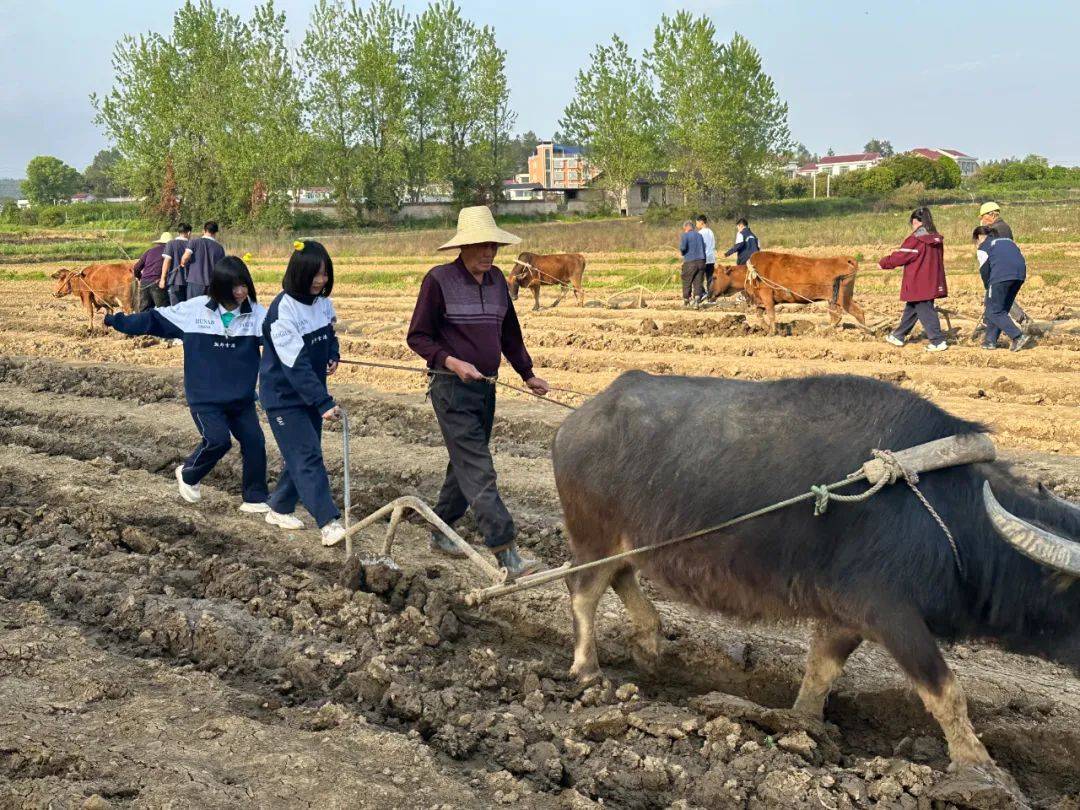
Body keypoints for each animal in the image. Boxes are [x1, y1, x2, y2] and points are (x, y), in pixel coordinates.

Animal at [557, 373, 1080, 781]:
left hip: (630, 540)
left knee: (620, 577)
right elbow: (946, 691)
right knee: (582, 590)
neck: (952, 519)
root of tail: (577, 421)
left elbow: (820, 672)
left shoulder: (844, 616)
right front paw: (979, 764)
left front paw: (802, 725)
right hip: (592, 537)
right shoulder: (891, 614)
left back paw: (649, 642)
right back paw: (588, 671)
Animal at [708, 249, 868, 334]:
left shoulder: (767, 297)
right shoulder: (760, 301)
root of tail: (846, 259)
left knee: (855, 313)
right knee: (839, 316)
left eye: (714, 276)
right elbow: (759, 315)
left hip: (843, 298)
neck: (752, 272)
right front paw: (767, 329)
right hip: (834, 300)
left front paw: (772, 332)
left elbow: (771, 315)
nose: (709, 295)